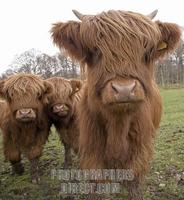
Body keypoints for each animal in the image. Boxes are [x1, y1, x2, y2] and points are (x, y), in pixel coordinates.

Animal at [51, 9, 182, 200]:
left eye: (145, 52)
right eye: (95, 51)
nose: (124, 89)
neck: (118, 125)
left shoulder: (140, 145)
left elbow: (134, 177)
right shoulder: (92, 147)